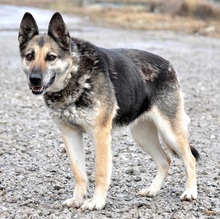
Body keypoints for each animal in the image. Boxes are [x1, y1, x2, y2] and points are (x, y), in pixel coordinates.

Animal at [18, 12, 199, 210]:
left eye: (51, 57)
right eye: (30, 56)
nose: (34, 79)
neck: (75, 74)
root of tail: (169, 65)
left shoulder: (100, 134)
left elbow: (100, 171)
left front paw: (96, 202)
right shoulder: (70, 135)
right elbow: (78, 172)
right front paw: (78, 199)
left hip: (170, 133)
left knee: (189, 159)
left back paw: (190, 193)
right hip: (142, 137)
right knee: (165, 161)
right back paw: (152, 190)